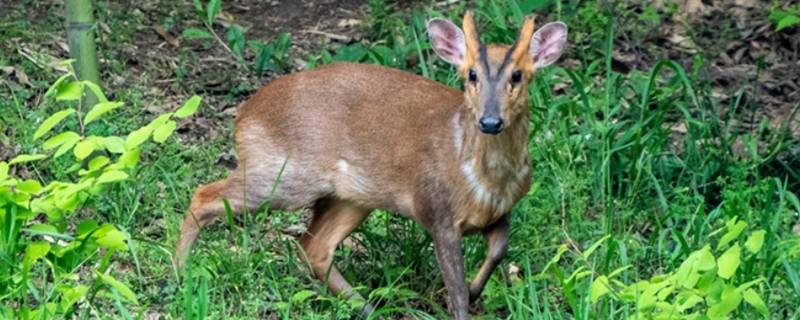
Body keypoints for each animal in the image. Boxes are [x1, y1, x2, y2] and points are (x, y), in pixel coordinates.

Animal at [177, 11, 564, 318]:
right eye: (471, 75)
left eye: (518, 76)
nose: (490, 121)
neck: (484, 176)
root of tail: (243, 115)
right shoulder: (436, 210)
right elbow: (454, 289)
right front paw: (462, 297)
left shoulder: (501, 211)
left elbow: (498, 251)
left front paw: (474, 288)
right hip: (283, 175)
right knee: (205, 195)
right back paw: (180, 273)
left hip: (351, 197)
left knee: (313, 246)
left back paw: (366, 307)